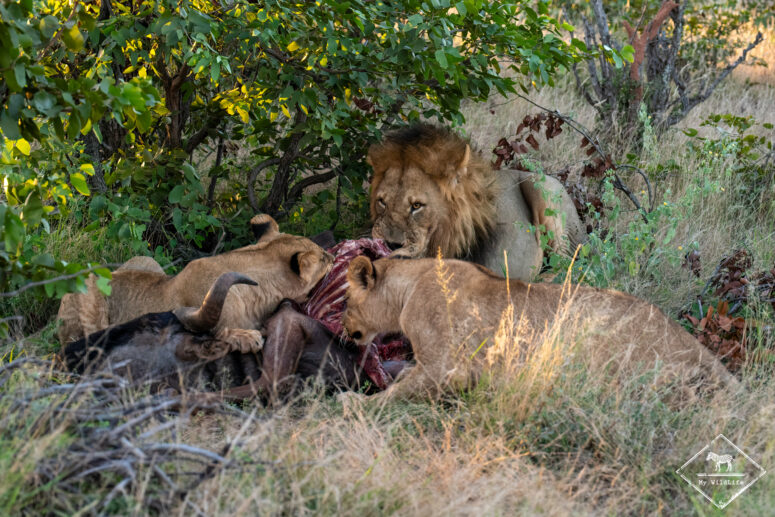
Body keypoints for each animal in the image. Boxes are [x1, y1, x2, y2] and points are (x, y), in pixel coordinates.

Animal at [56, 214, 334, 353]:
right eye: (322, 257)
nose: (332, 257)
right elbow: (217, 330)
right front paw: (246, 337)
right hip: (87, 293)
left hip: (144, 260)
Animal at [342, 256, 737, 402]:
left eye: (344, 301)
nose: (345, 329)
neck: (408, 288)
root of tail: (690, 341)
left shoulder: (446, 368)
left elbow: (395, 394)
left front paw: (356, 404)